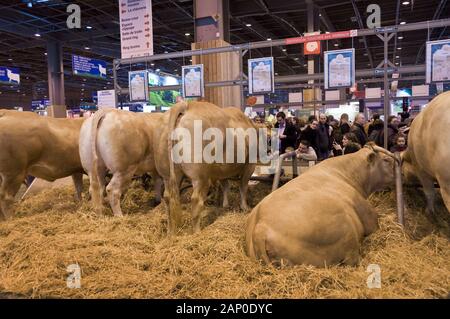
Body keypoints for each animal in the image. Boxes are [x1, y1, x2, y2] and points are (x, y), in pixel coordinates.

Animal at [155, 102, 258, 235]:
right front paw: (245, 207)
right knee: (196, 200)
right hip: (200, 176)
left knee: (168, 198)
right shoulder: (250, 165)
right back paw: (197, 232)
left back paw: (170, 232)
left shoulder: (222, 170)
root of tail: (186, 105)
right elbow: (243, 186)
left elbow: (226, 186)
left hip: (167, 174)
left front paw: (225, 205)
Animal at [246, 145, 398, 268]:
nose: (399, 174)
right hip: (346, 233)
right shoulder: (367, 213)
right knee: (351, 259)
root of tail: (261, 227)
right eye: (386, 160)